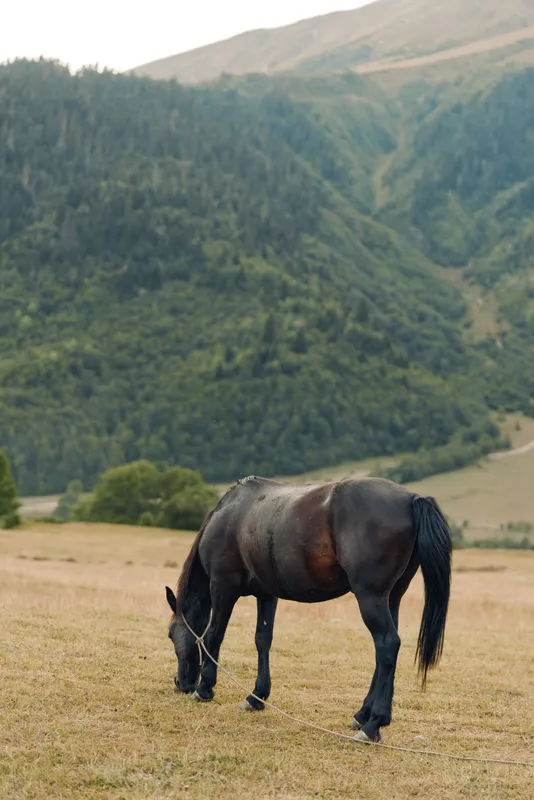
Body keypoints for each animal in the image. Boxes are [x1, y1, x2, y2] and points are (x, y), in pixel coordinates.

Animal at [165, 475, 452, 743]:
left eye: (170, 634)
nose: (181, 683)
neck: (230, 514)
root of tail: (411, 498)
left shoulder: (222, 587)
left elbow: (213, 636)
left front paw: (204, 688)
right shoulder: (266, 595)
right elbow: (262, 640)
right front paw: (257, 697)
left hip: (371, 597)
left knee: (387, 644)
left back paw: (373, 724)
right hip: (392, 598)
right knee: (385, 652)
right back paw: (363, 715)